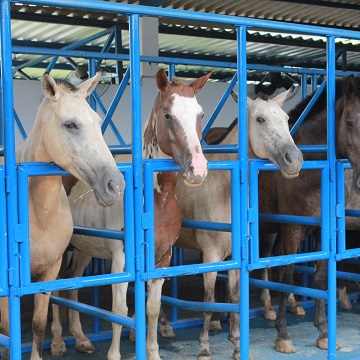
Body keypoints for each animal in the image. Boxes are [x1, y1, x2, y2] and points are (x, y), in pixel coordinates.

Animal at [0, 72, 124, 360]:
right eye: (70, 125)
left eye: (98, 122)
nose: (114, 185)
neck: (36, 210)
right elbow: (7, 330)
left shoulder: (50, 268)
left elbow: (38, 323)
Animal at [51, 68, 212, 360]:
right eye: (168, 115)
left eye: (200, 114)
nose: (197, 169)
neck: (155, 201)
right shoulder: (121, 258)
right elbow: (119, 310)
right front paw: (114, 353)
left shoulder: (162, 258)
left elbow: (152, 308)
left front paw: (153, 351)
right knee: (55, 286)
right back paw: (58, 342)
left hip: (83, 249)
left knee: (72, 282)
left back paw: (81, 339)